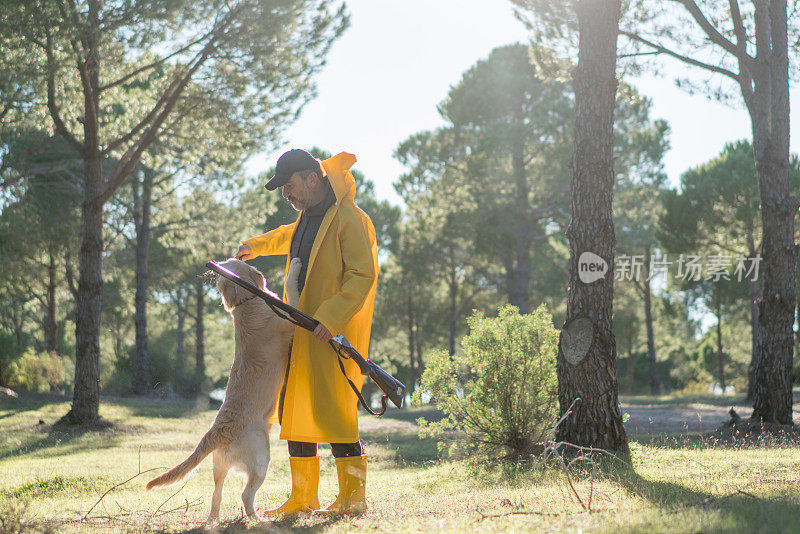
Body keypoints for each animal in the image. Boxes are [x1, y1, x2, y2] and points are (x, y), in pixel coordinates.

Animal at [147, 258, 304, 524]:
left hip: (219, 468)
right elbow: (290, 290)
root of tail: (217, 432)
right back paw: (259, 520)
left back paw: (215, 521)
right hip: (262, 459)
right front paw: (294, 266)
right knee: (246, 495)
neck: (246, 302)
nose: (214, 265)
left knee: (216, 497)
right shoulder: (289, 321)